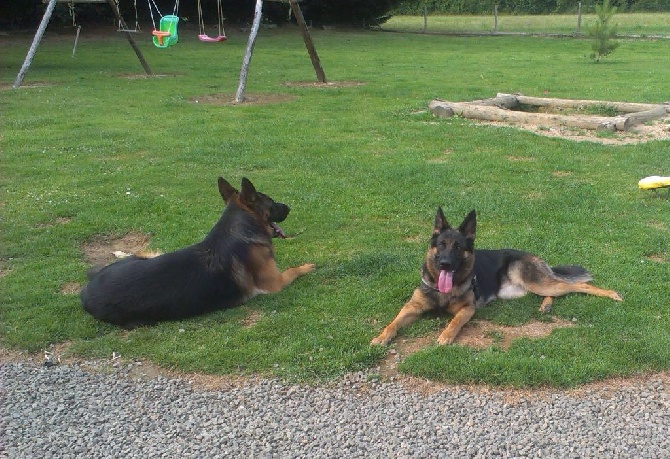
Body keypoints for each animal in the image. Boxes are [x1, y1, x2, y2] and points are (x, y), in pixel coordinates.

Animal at [80, 178, 316, 328]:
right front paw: (306, 267)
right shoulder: (275, 283)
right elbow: (293, 270)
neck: (240, 228)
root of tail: (86, 292)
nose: (289, 207)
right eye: (272, 202)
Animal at [372, 208, 624, 344]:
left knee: (577, 285)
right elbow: (393, 323)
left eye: (458, 247)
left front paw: (446, 336)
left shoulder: (468, 310)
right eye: (441, 245)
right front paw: (381, 337)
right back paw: (546, 306)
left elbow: (454, 322)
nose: (445, 263)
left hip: (536, 282)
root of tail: (534, 256)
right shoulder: (411, 307)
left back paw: (612, 294)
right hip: (526, 289)